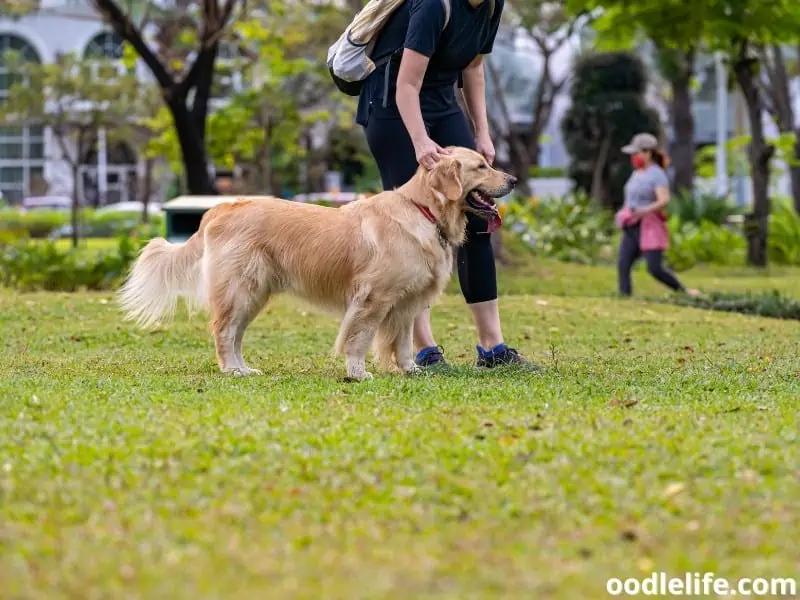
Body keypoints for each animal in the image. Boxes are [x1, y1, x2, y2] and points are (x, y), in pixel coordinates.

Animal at [119, 146, 520, 380]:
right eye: (481, 166)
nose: (514, 179)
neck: (423, 211)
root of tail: (219, 208)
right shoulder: (372, 298)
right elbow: (359, 338)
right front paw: (358, 373)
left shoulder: (407, 303)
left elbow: (404, 342)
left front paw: (409, 369)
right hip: (240, 290)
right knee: (223, 331)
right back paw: (233, 371)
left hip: (253, 296)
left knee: (234, 334)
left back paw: (244, 367)